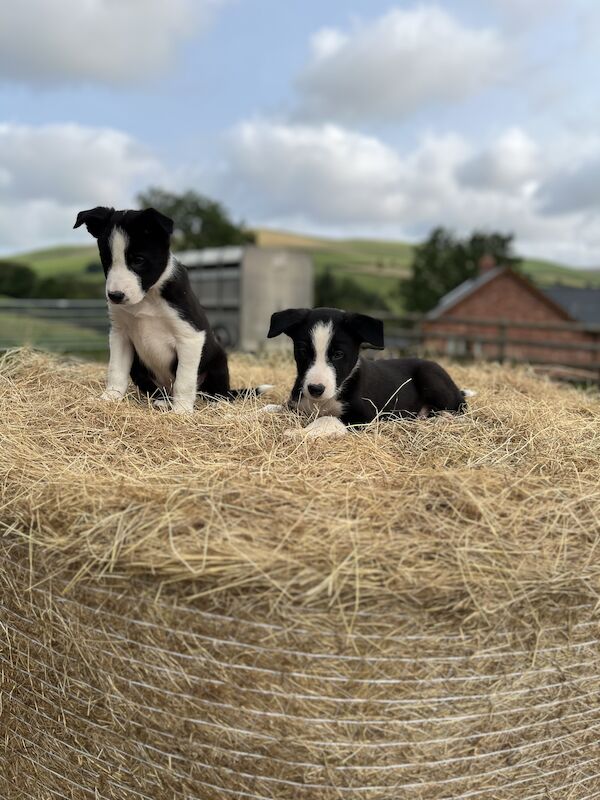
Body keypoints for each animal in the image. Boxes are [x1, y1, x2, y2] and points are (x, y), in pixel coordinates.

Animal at [75, 206, 272, 412]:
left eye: (138, 260)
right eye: (107, 260)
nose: (115, 296)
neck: (148, 298)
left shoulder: (190, 336)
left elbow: (183, 381)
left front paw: (181, 411)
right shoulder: (120, 333)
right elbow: (116, 370)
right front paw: (109, 398)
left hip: (218, 361)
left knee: (216, 393)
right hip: (139, 367)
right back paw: (162, 401)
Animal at [266, 310, 468, 440]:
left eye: (338, 354)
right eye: (303, 352)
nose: (315, 389)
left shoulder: (364, 416)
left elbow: (328, 418)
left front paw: (299, 432)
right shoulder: (295, 405)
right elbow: (270, 407)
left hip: (430, 375)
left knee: (460, 407)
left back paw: (444, 417)